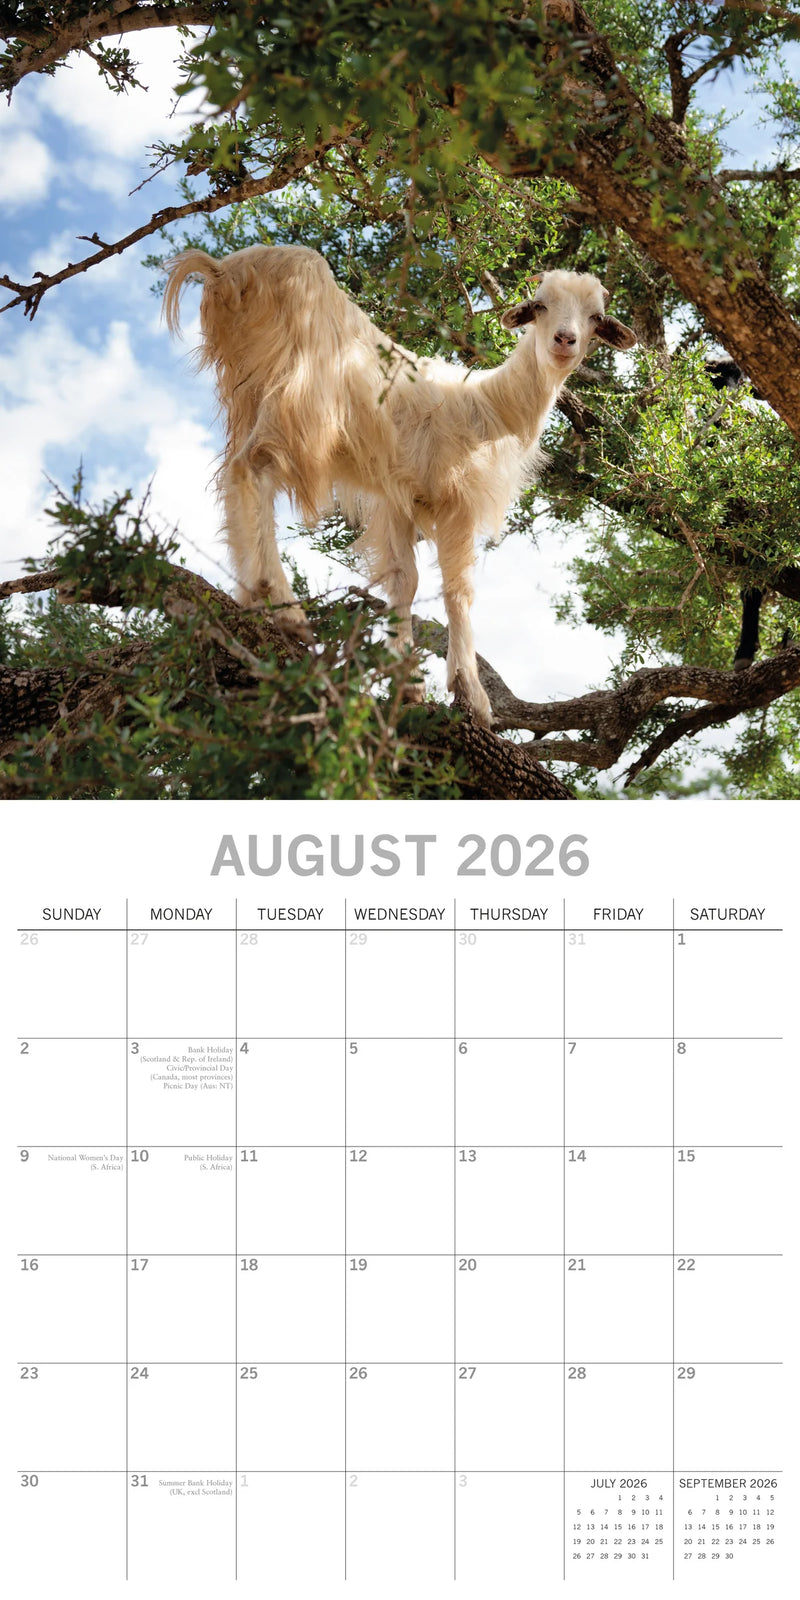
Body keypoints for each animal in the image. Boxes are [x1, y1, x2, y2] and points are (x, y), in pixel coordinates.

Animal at [163, 245, 635, 724]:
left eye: (596, 317)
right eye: (539, 306)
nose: (564, 340)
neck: (488, 409)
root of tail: (228, 271)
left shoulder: (398, 498)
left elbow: (403, 581)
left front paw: (407, 681)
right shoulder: (455, 501)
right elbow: (458, 592)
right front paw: (471, 693)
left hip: (249, 394)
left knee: (234, 475)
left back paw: (249, 595)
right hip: (303, 402)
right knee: (253, 469)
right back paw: (280, 602)